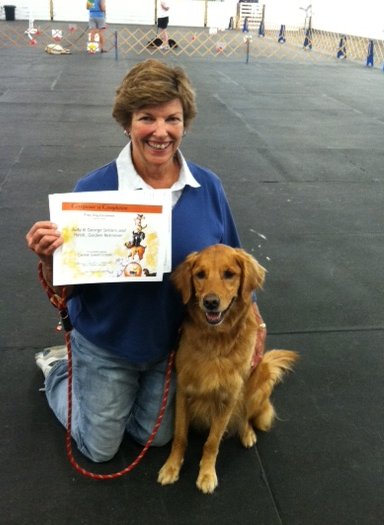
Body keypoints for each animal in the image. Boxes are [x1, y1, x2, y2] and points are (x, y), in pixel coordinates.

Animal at [158, 244, 298, 494]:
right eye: (200, 275)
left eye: (229, 274)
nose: (210, 302)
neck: (215, 341)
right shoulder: (183, 390)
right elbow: (180, 436)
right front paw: (171, 467)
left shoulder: (229, 397)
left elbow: (212, 442)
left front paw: (206, 474)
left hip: (257, 382)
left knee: (245, 417)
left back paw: (247, 433)